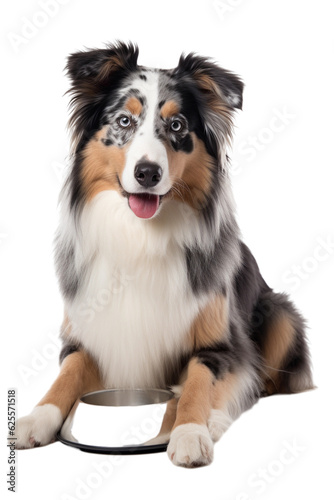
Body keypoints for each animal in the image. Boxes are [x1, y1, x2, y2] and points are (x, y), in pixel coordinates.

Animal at [15, 41, 314, 466]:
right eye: (124, 121)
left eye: (177, 126)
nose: (147, 173)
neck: (142, 236)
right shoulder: (86, 335)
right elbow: (66, 375)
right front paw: (37, 418)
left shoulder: (221, 344)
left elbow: (199, 383)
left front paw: (190, 431)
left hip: (280, 313)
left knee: (262, 379)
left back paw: (216, 418)